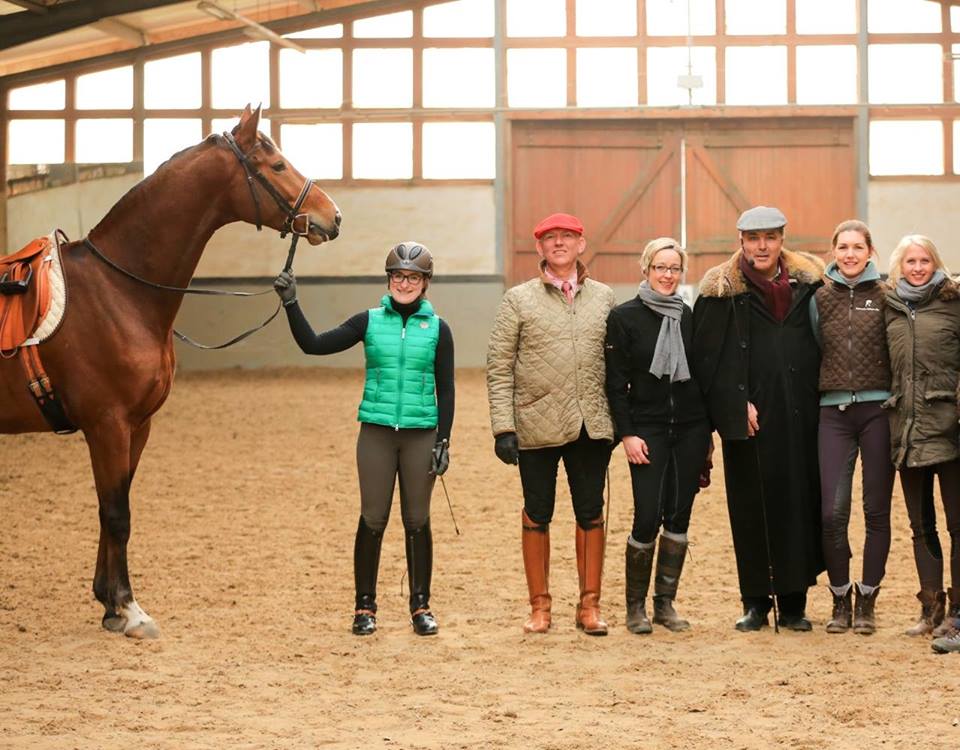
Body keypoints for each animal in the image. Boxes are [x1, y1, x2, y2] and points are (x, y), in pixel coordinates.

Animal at [0, 104, 342, 640]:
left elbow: (112, 508)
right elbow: (117, 514)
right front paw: (130, 609)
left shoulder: (136, 426)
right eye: (278, 165)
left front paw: (108, 604)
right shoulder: (108, 425)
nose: (333, 216)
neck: (118, 289)